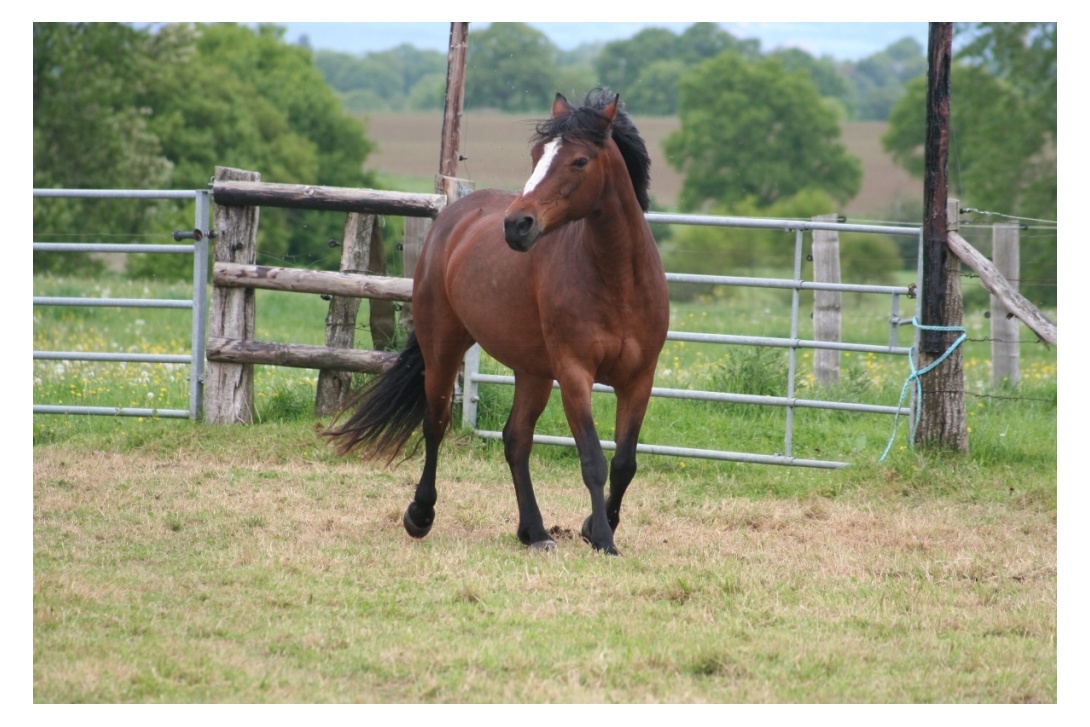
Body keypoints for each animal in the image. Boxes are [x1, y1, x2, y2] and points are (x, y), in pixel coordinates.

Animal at [322, 91, 667, 558]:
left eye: (579, 161)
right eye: (536, 155)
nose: (517, 224)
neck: (618, 281)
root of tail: (454, 215)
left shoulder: (639, 378)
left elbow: (625, 463)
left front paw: (595, 528)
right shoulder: (574, 373)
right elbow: (593, 460)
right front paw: (603, 538)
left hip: (532, 371)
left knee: (516, 438)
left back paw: (534, 532)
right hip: (444, 347)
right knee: (436, 423)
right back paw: (421, 515)